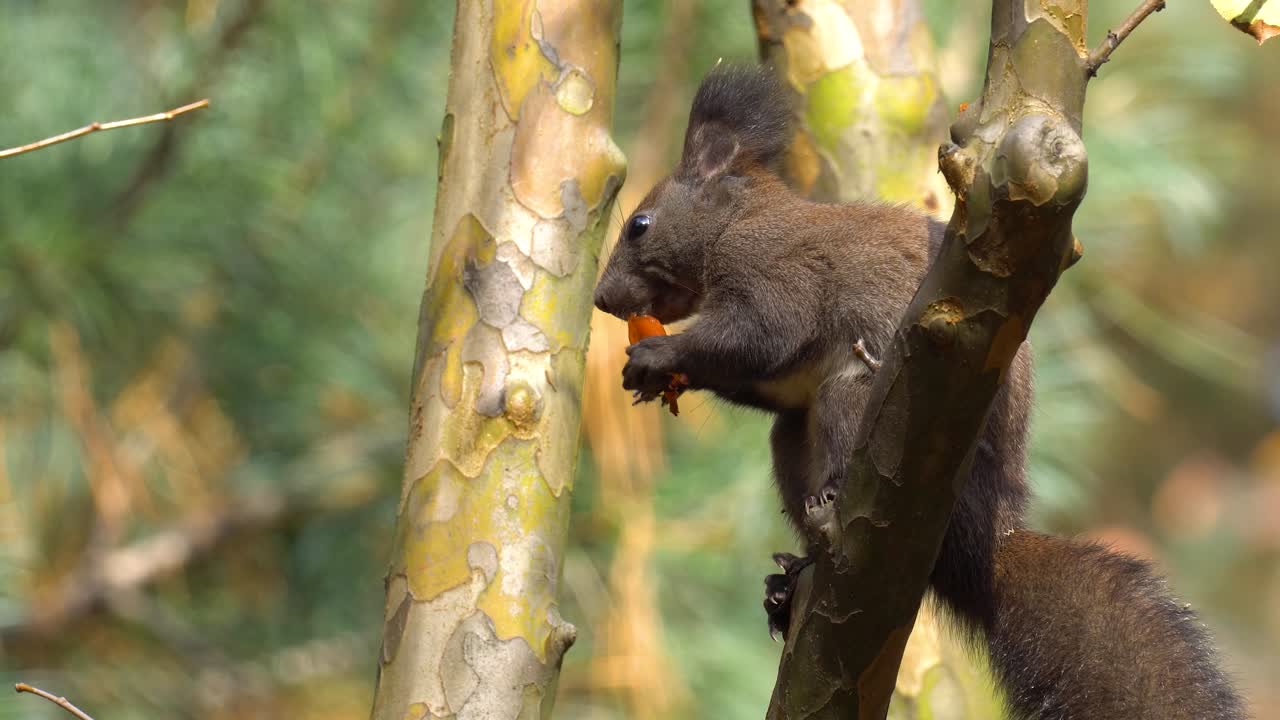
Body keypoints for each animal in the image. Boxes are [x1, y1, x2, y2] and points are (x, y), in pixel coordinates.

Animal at [592, 65, 1244, 720]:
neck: (738, 222)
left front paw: (657, 355)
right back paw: (789, 581)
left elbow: (759, 336)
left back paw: (831, 504)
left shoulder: (777, 275)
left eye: (639, 225)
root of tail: (989, 534)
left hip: (860, 403)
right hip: (796, 445)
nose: (600, 299)